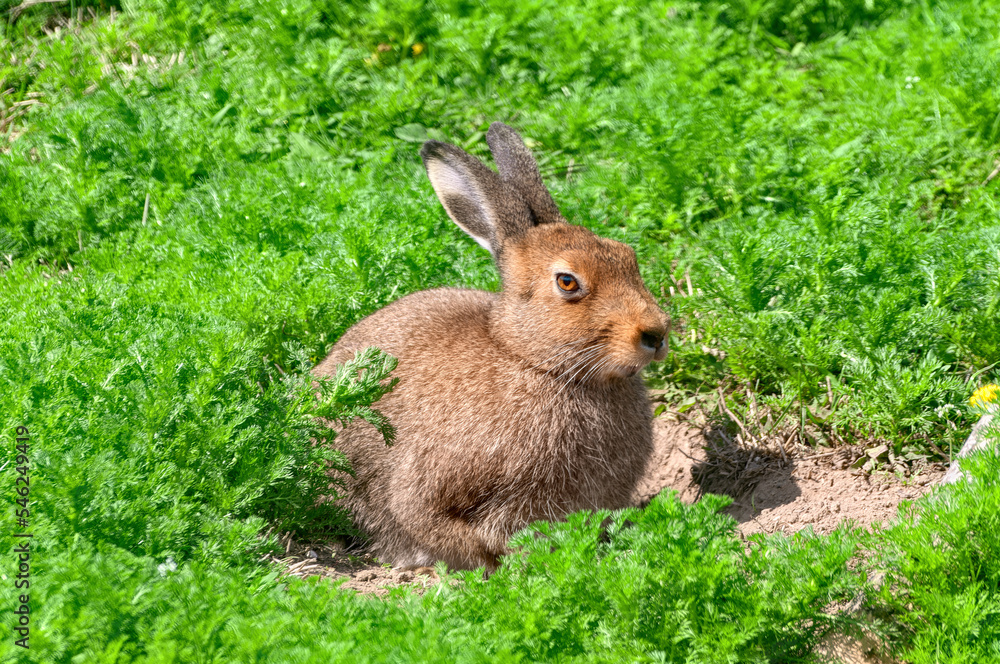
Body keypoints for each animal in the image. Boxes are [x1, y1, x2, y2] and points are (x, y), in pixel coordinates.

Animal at [314, 122, 669, 571]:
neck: (532, 361)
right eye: (567, 281)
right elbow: (424, 517)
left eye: (628, 257)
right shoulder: (432, 480)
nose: (656, 333)